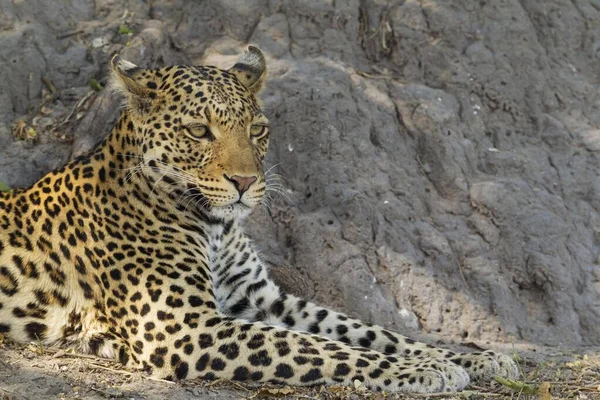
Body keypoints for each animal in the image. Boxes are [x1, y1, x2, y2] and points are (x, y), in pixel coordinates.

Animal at [0, 47, 516, 394]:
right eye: (198, 130)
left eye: (258, 130)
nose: (245, 182)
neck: (215, 228)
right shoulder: (187, 328)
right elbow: (318, 348)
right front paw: (427, 370)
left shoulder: (262, 299)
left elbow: (365, 330)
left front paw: (474, 358)